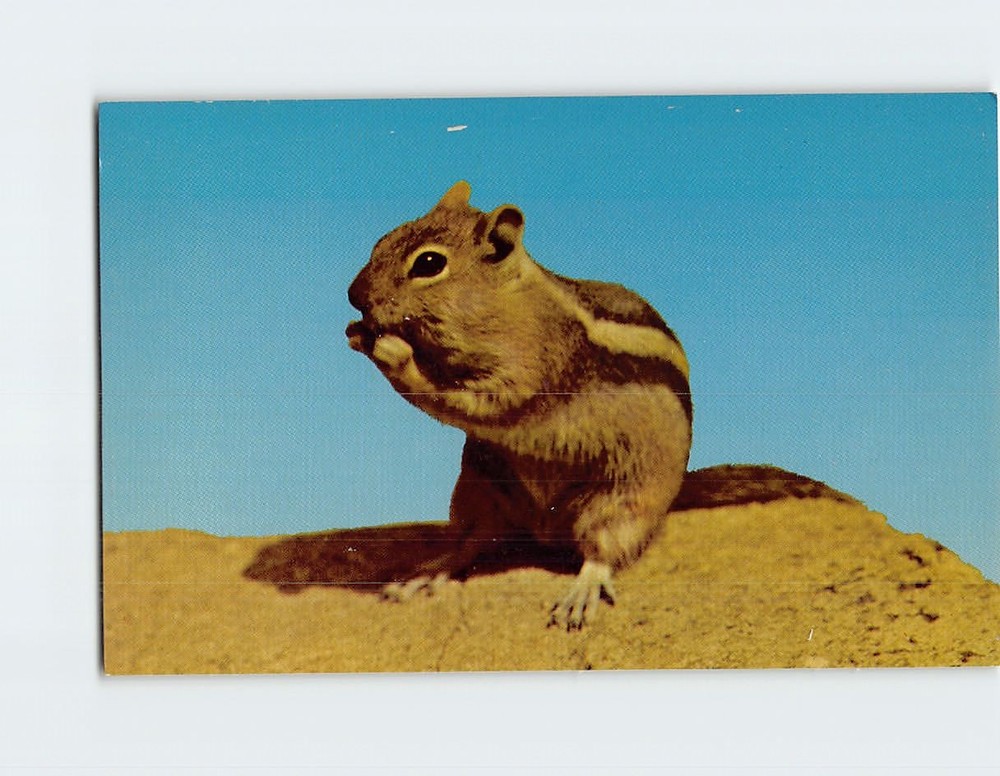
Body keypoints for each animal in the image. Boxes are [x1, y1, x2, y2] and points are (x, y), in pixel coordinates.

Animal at [346, 181, 692, 629]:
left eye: (429, 263)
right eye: (381, 241)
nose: (353, 295)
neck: (508, 304)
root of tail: (545, 531)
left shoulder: (525, 377)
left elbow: (463, 400)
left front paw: (393, 352)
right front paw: (359, 332)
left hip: (624, 498)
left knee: (601, 549)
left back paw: (582, 591)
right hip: (477, 487)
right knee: (470, 541)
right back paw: (424, 575)